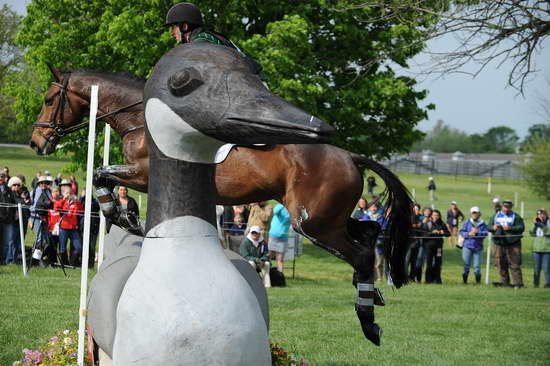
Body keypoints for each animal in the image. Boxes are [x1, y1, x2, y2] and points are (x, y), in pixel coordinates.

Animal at [29, 66, 410, 346]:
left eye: (48, 99)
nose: (36, 142)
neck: (141, 117)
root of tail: (350, 157)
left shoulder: (144, 174)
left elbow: (101, 175)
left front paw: (123, 217)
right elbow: (104, 178)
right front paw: (128, 216)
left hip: (313, 223)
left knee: (361, 252)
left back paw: (368, 322)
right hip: (330, 218)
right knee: (369, 231)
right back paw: (374, 293)